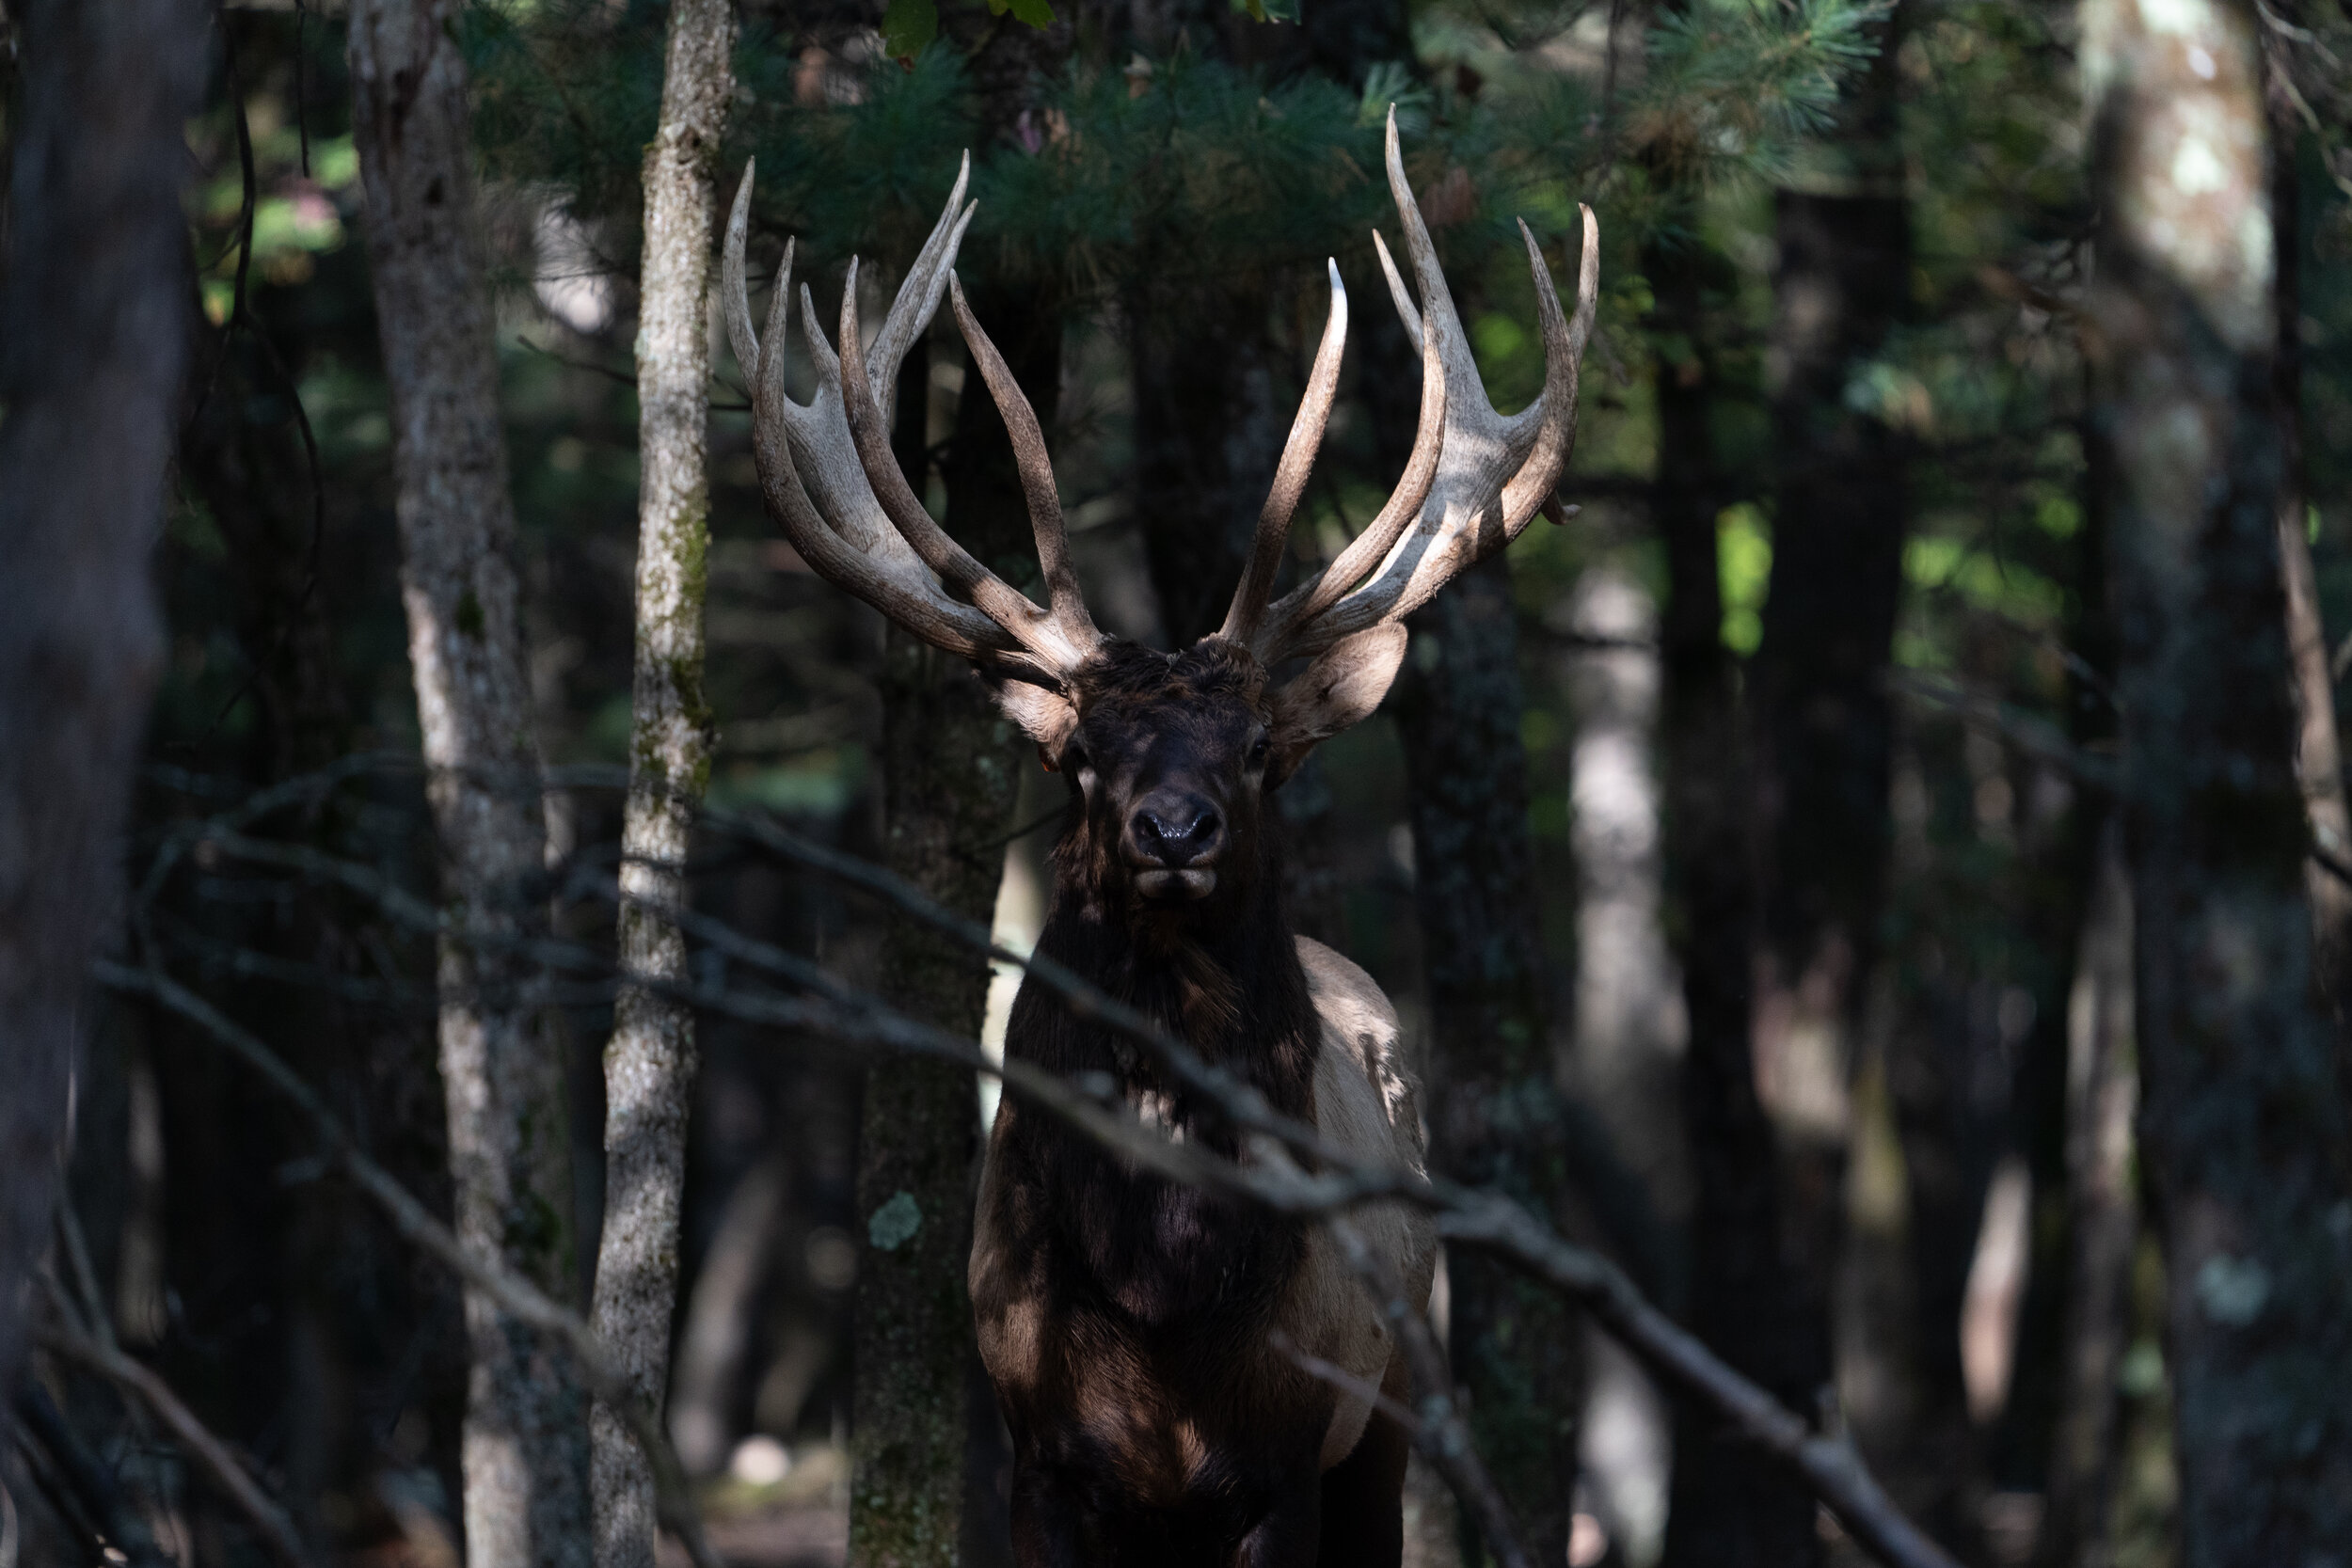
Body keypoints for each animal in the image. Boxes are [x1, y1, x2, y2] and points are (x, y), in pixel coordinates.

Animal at [720, 109, 1598, 1567]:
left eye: (1255, 748)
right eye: (1078, 751)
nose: (1172, 825)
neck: (1164, 1291)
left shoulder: (1292, 1449)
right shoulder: (1037, 1451)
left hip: (1397, 1401)